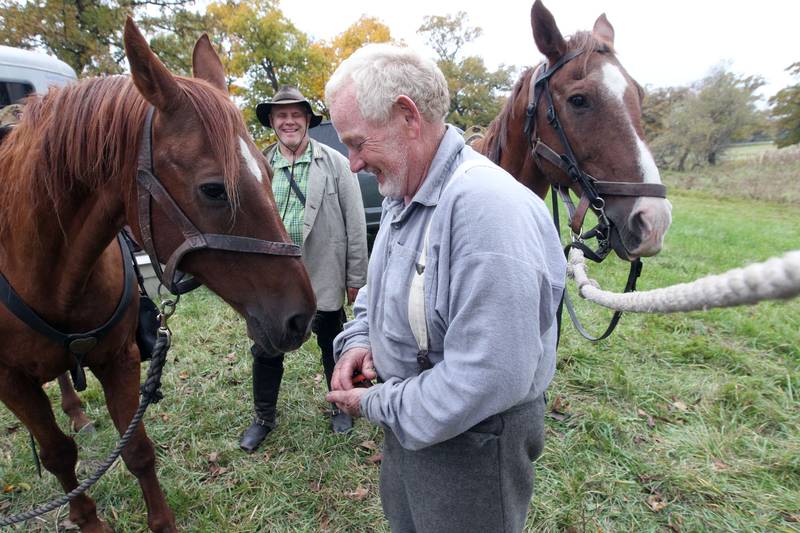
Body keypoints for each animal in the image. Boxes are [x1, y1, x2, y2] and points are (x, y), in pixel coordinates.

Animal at [0, 18, 316, 533]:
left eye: (270, 173)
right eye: (214, 189)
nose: (300, 318)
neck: (48, 268)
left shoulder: (119, 359)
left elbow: (138, 450)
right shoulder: (13, 383)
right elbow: (59, 455)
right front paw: (86, 519)